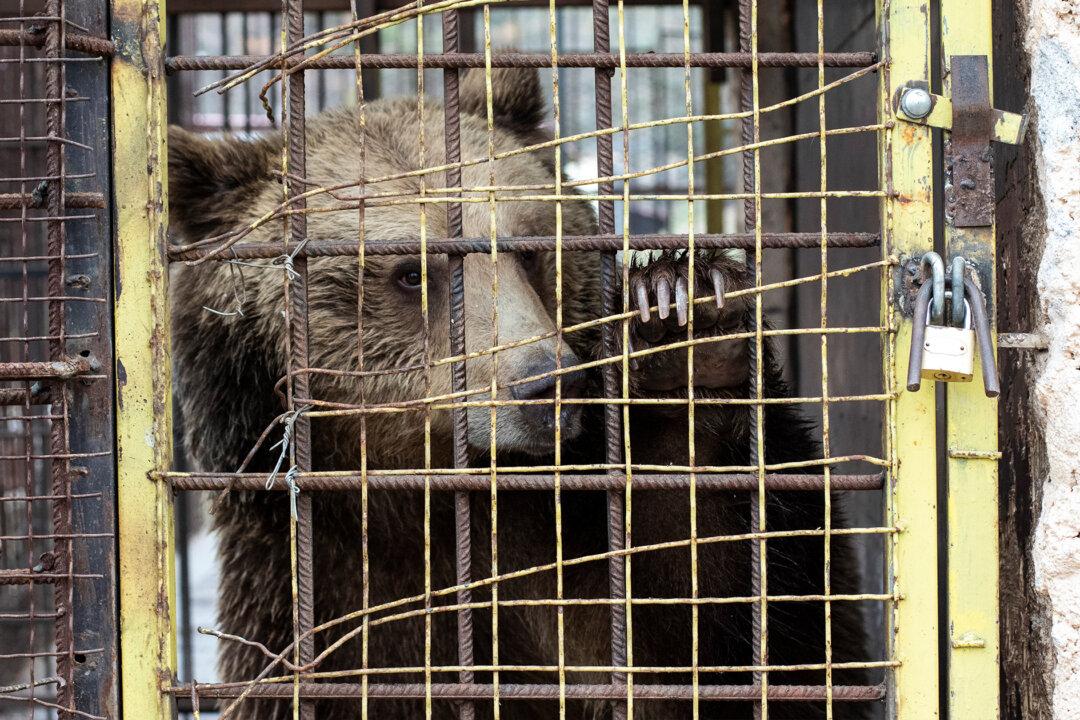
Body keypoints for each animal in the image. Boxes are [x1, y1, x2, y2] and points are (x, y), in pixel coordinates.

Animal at [168, 65, 873, 720]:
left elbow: (745, 633)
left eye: (530, 247)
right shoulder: (316, 612)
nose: (547, 381)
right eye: (411, 272)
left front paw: (684, 315)